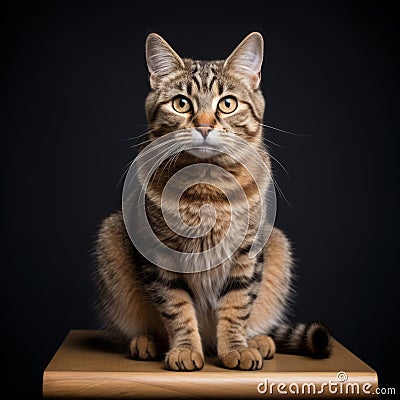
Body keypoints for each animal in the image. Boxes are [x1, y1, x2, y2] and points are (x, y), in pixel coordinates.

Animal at [94, 32, 332, 372]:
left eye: (227, 104)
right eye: (181, 103)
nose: (204, 125)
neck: (208, 187)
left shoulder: (248, 251)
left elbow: (236, 305)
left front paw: (236, 348)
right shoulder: (158, 254)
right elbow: (177, 307)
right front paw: (184, 349)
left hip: (279, 245)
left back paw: (258, 340)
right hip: (111, 238)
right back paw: (146, 342)